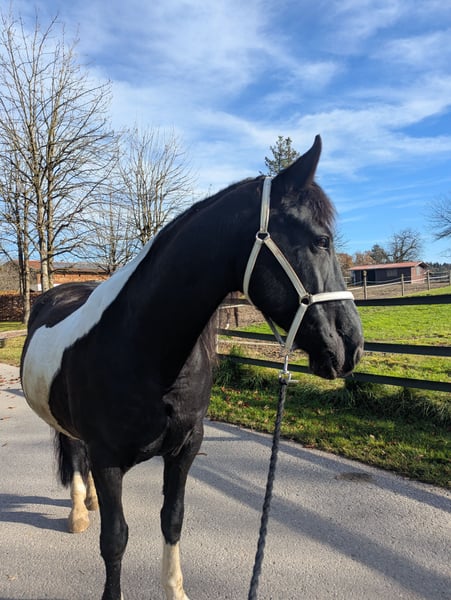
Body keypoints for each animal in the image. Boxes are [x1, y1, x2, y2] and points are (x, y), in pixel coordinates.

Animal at [20, 135, 364, 600]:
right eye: (321, 240)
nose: (351, 345)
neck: (145, 351)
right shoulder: (108, 460)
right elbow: (115, 539)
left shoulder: (186, 449)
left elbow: (173, 519)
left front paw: (175, 590)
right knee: (74, 452)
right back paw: (78, 512)